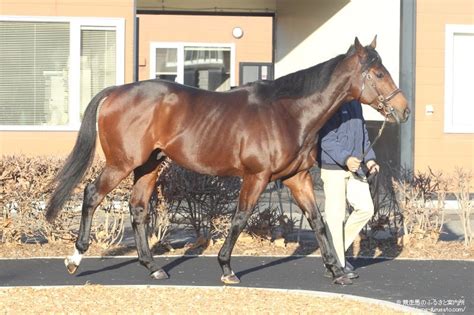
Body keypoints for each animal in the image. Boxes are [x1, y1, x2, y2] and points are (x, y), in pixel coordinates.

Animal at [46, 37, 410, 286]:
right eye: (378, 73)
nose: (404, 110)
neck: (288, 113)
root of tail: (115, 91)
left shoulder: (298, 178)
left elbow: (318, 222)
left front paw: (337, 271)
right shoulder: (256, 177)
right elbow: (240, 217)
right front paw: (226, 268)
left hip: (149, 166)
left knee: (137, 209)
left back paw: (154, 267)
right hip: (122, 164)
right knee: (92, 194)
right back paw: (75, 259)